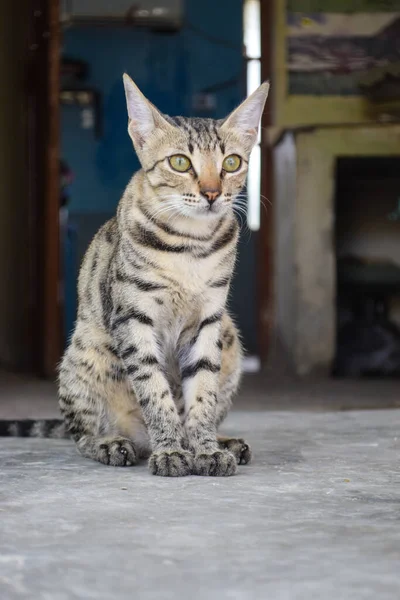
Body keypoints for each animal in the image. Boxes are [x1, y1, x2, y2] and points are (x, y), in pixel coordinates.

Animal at [2, 76, 268, 478]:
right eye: (180, 162)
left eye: (232, 162)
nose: (211, 193)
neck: (191, 245)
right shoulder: (133, 316)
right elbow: (154, 390)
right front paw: (170, 450)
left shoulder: (208, 319)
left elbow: (202, 394)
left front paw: (205, 449)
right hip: (84, 352)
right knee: (81, 433)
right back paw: (113, 443)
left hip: (230, 336)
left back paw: (224, 442)